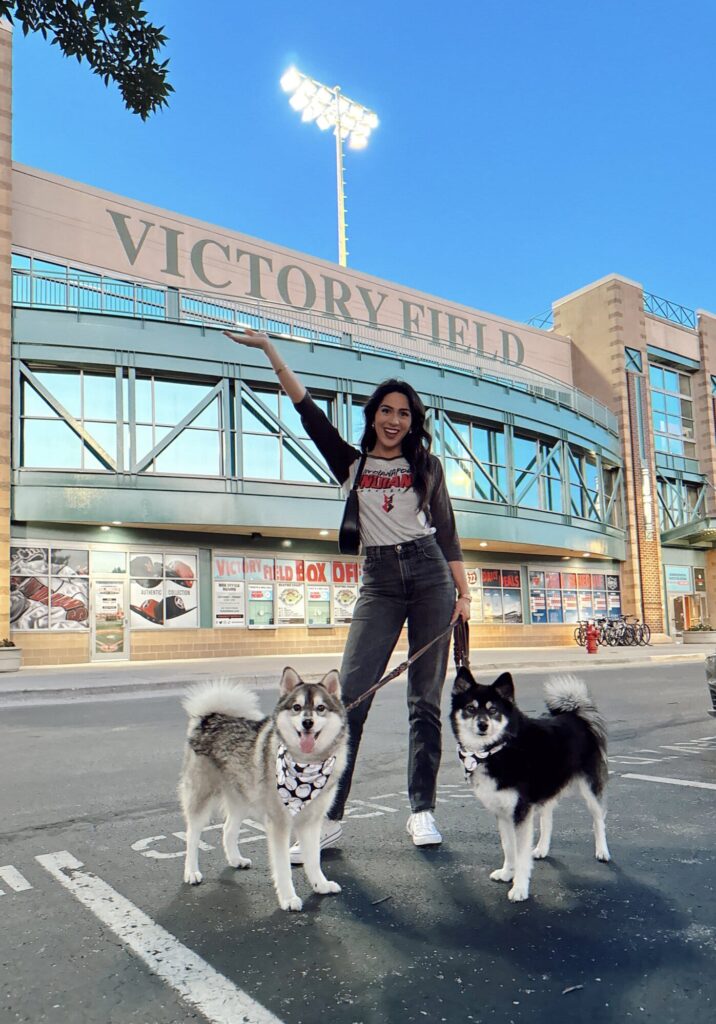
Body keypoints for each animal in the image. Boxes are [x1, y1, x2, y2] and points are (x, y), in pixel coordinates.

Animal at [179, 667, 348, 917]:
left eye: (320, 708)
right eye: (297, 707)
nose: (307, 722)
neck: (306, 762)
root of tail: (210, 717)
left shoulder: (312, 822)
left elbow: (314, 858)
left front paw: (320, 884)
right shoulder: (279, 825)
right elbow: (283, 867)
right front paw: (288, 898)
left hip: (242, 798)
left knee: (228, 830)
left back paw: (236, 859)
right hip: (201, 797)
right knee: (192, 836)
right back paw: (191, 871)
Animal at [450, 667, 606, 901]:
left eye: (493, 710)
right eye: (470, 708)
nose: (483, 725)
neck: (497, 749)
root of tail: (574, 715)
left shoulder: (520, 811)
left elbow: (521, 854)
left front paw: (520, 887)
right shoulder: (504, 812)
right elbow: (508, 847)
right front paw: (507, 872)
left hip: (589, 788)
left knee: (598, 819)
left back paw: (603, 851)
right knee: (547, 819)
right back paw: (542, 849)